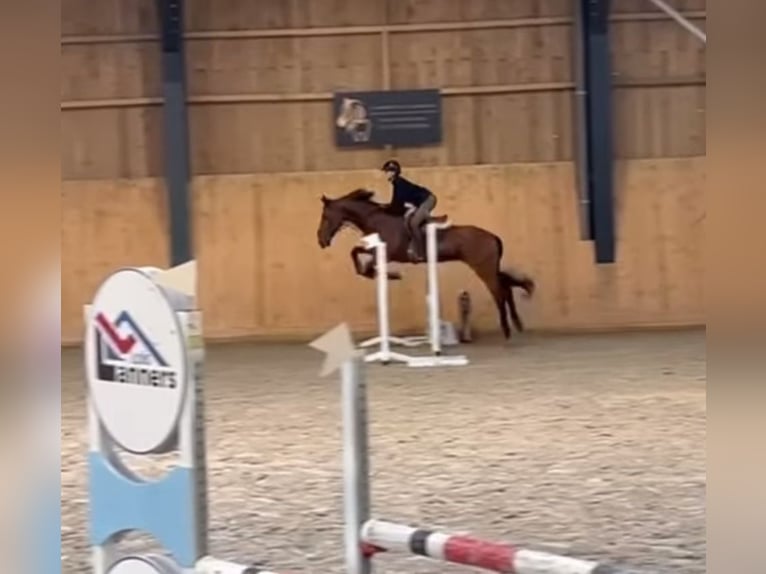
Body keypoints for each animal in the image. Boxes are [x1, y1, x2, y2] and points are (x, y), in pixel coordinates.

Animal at [316, 188, 535, 340]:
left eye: (325, 216)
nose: (321, 240)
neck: (376, 219)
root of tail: (492, 236)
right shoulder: (378, 252)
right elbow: (358, 257)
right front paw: (382, 274)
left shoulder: (386, 253)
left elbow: (359, 258)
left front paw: (389, 275)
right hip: (489, 268)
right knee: (506, 286)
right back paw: (517, 323)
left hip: (484, 269)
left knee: (499, 292)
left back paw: (507, 329)